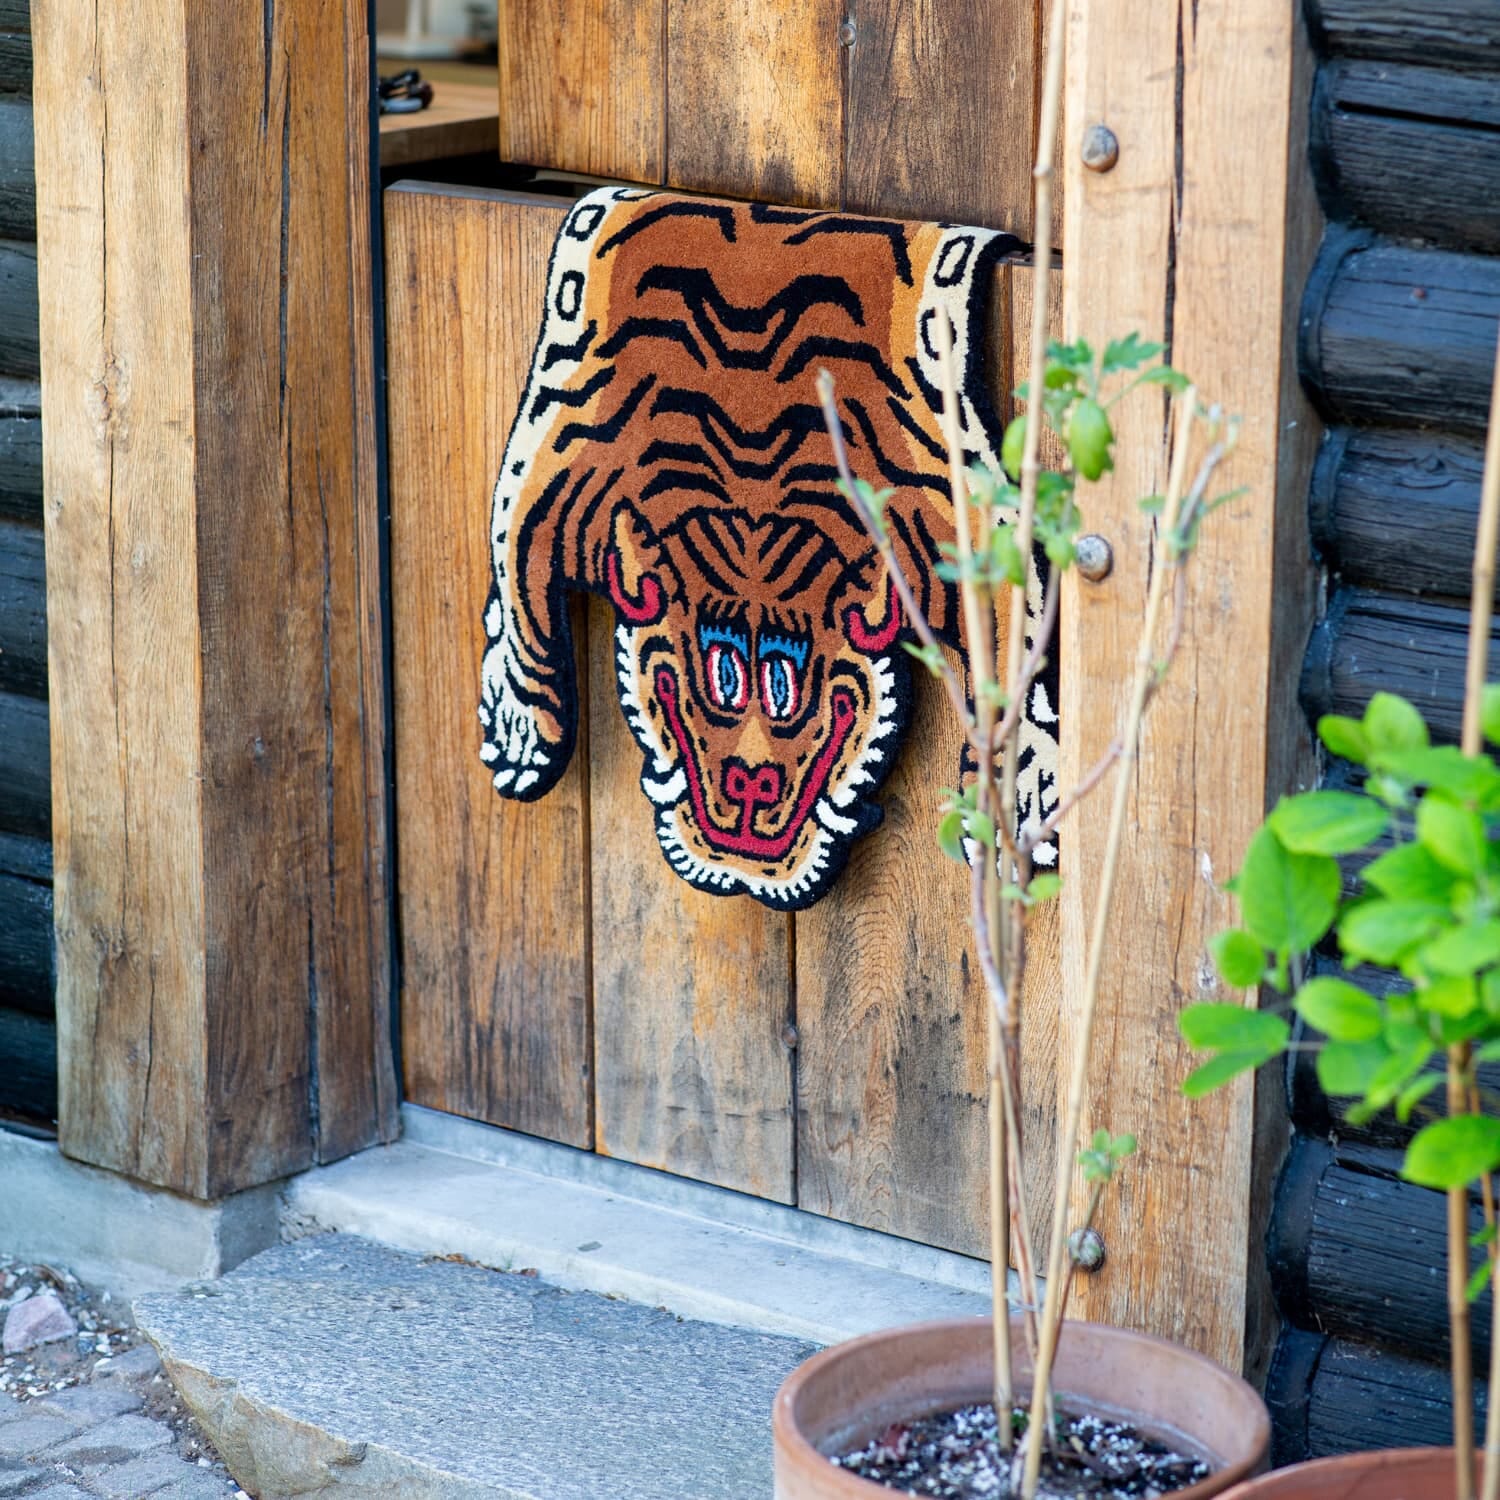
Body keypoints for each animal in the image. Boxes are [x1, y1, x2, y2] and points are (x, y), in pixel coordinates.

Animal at [479, 186, 1059, 910]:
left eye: (789, 695)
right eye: (720, 679)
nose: (750, 784)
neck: (757, 500)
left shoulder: (959, 519)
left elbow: (1019, 647)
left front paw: (1014, 797)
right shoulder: (557, 456)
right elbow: (513, 562)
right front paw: (521, 729)